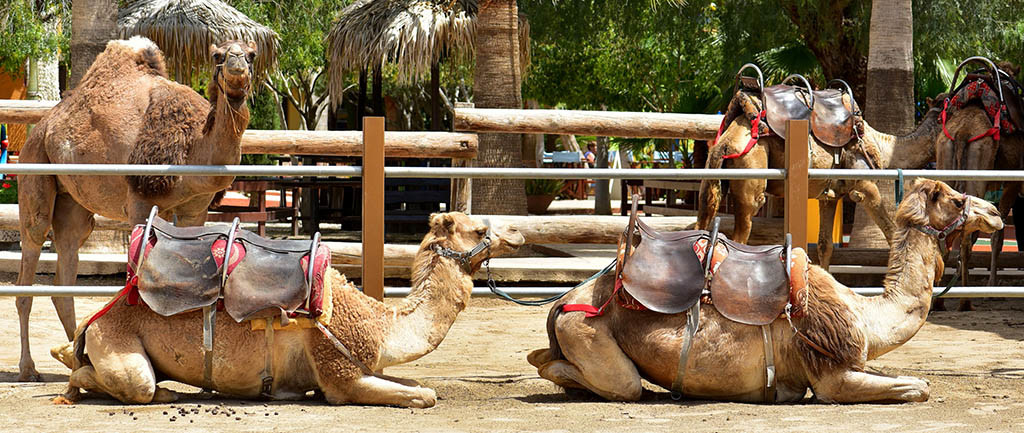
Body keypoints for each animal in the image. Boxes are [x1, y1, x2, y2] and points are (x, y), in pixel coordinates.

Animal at [15, 38, 256, 382]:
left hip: (73, 202)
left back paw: (76, 356)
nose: (237, 63)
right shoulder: (140, 203)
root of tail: (43, 125)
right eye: (217, 55)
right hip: (35, 167)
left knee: (67, 257)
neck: (193, 148)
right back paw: (28, 368)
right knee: (32, 244)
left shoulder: (195, 208)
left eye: (252, 54)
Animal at [532, 179, 1003, 403]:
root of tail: (562, 303)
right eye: (956, 199)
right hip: (586, 330)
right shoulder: (831, 376)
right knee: (615, 382)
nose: (996, 211)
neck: (865, 315)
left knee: (545, 359)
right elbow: (920, 387)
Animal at [696, 88, 983, 266]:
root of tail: (726, 142)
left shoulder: (829, 196)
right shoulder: (866, 187)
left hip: (712, 178)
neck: (881, 145)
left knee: (702, 222)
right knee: (740, 233)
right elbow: (892, 235)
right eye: (953, 107)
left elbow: (825, 245)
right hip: (751, 179)